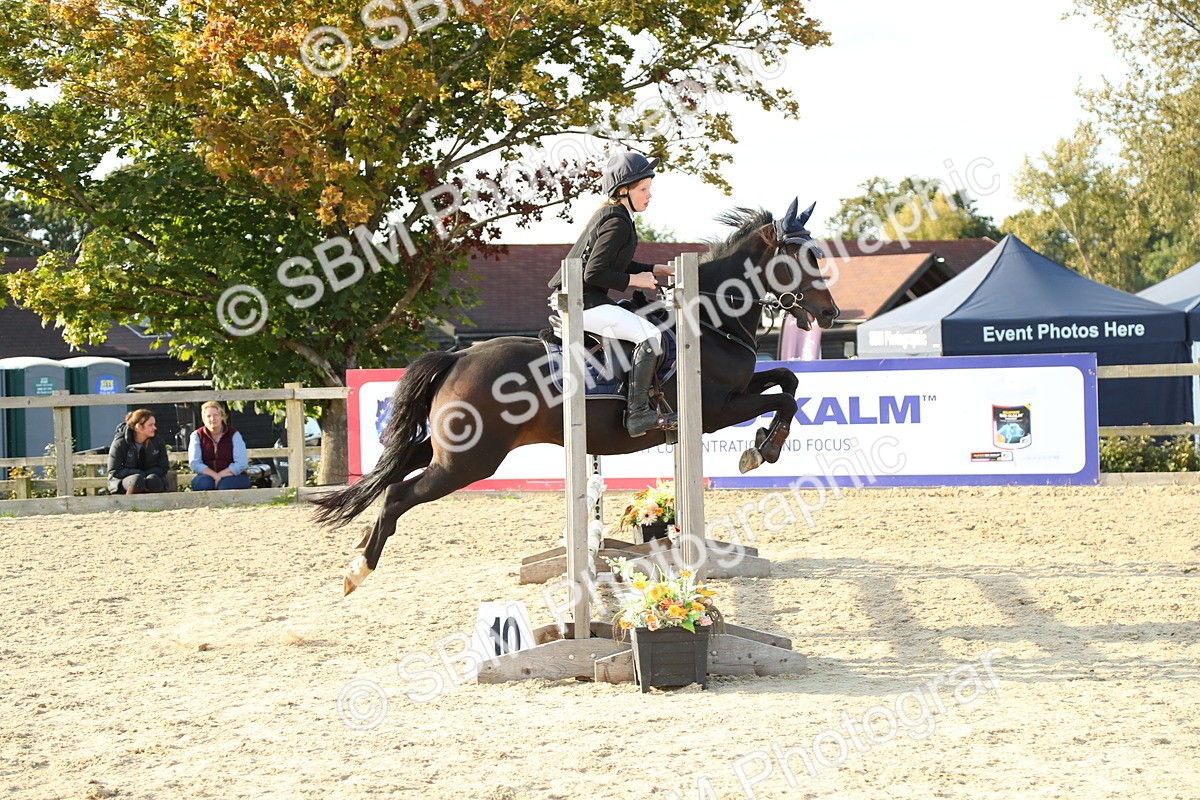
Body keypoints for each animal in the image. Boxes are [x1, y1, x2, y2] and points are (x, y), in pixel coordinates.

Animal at [313, 198, 841, 594]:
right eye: (804, 260)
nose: (831, 314)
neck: (710, 319)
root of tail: (458, 356)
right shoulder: (717, 409)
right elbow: (785, 399)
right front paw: (763, 449)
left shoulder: (739, 390)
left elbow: (788, 381)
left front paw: (763, 443)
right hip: (469, 461)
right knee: (399, 493)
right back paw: (358, 571)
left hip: (450, 447)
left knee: (397, 469)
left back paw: (358, 555)